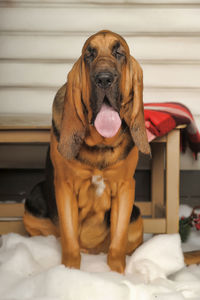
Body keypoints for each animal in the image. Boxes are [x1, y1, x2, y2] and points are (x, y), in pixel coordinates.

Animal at [23, 29, 200, 272]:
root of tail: (92, 251)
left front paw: (116, 273)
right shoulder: (65, 187)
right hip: (32, 202)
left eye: (119, 53)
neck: (100, 144)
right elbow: (69, 240)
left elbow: (118, 240)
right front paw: (70, 271)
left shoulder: (125, 188)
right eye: (89, 55)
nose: (104, 79)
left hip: (136, 215)